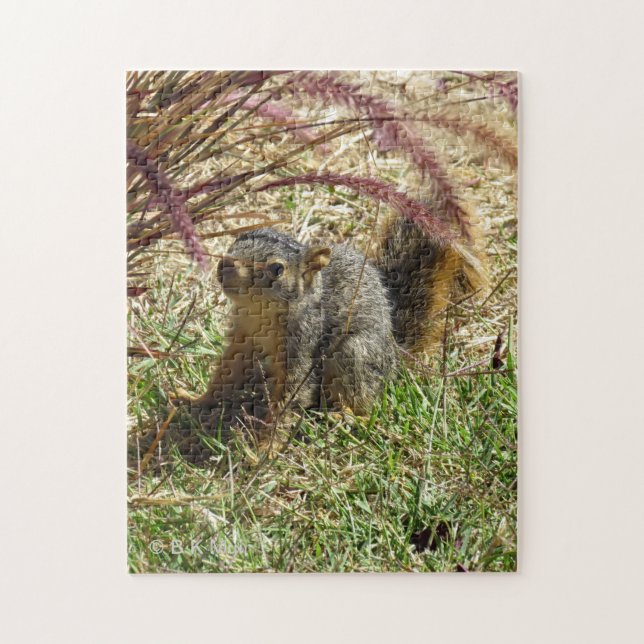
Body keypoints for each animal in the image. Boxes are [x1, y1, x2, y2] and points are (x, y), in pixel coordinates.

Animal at [173, 212, 484, 434]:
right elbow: (224, 375)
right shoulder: (241, 338)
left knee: (363, 402)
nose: (224, 264)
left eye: (277, 269)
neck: (260, 314)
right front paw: (194, 399)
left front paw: (265, 445)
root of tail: (395, 355)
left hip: (354, 352)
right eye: (238, 239)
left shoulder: (302, 343)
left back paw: (347, 417)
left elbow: (293, 394)